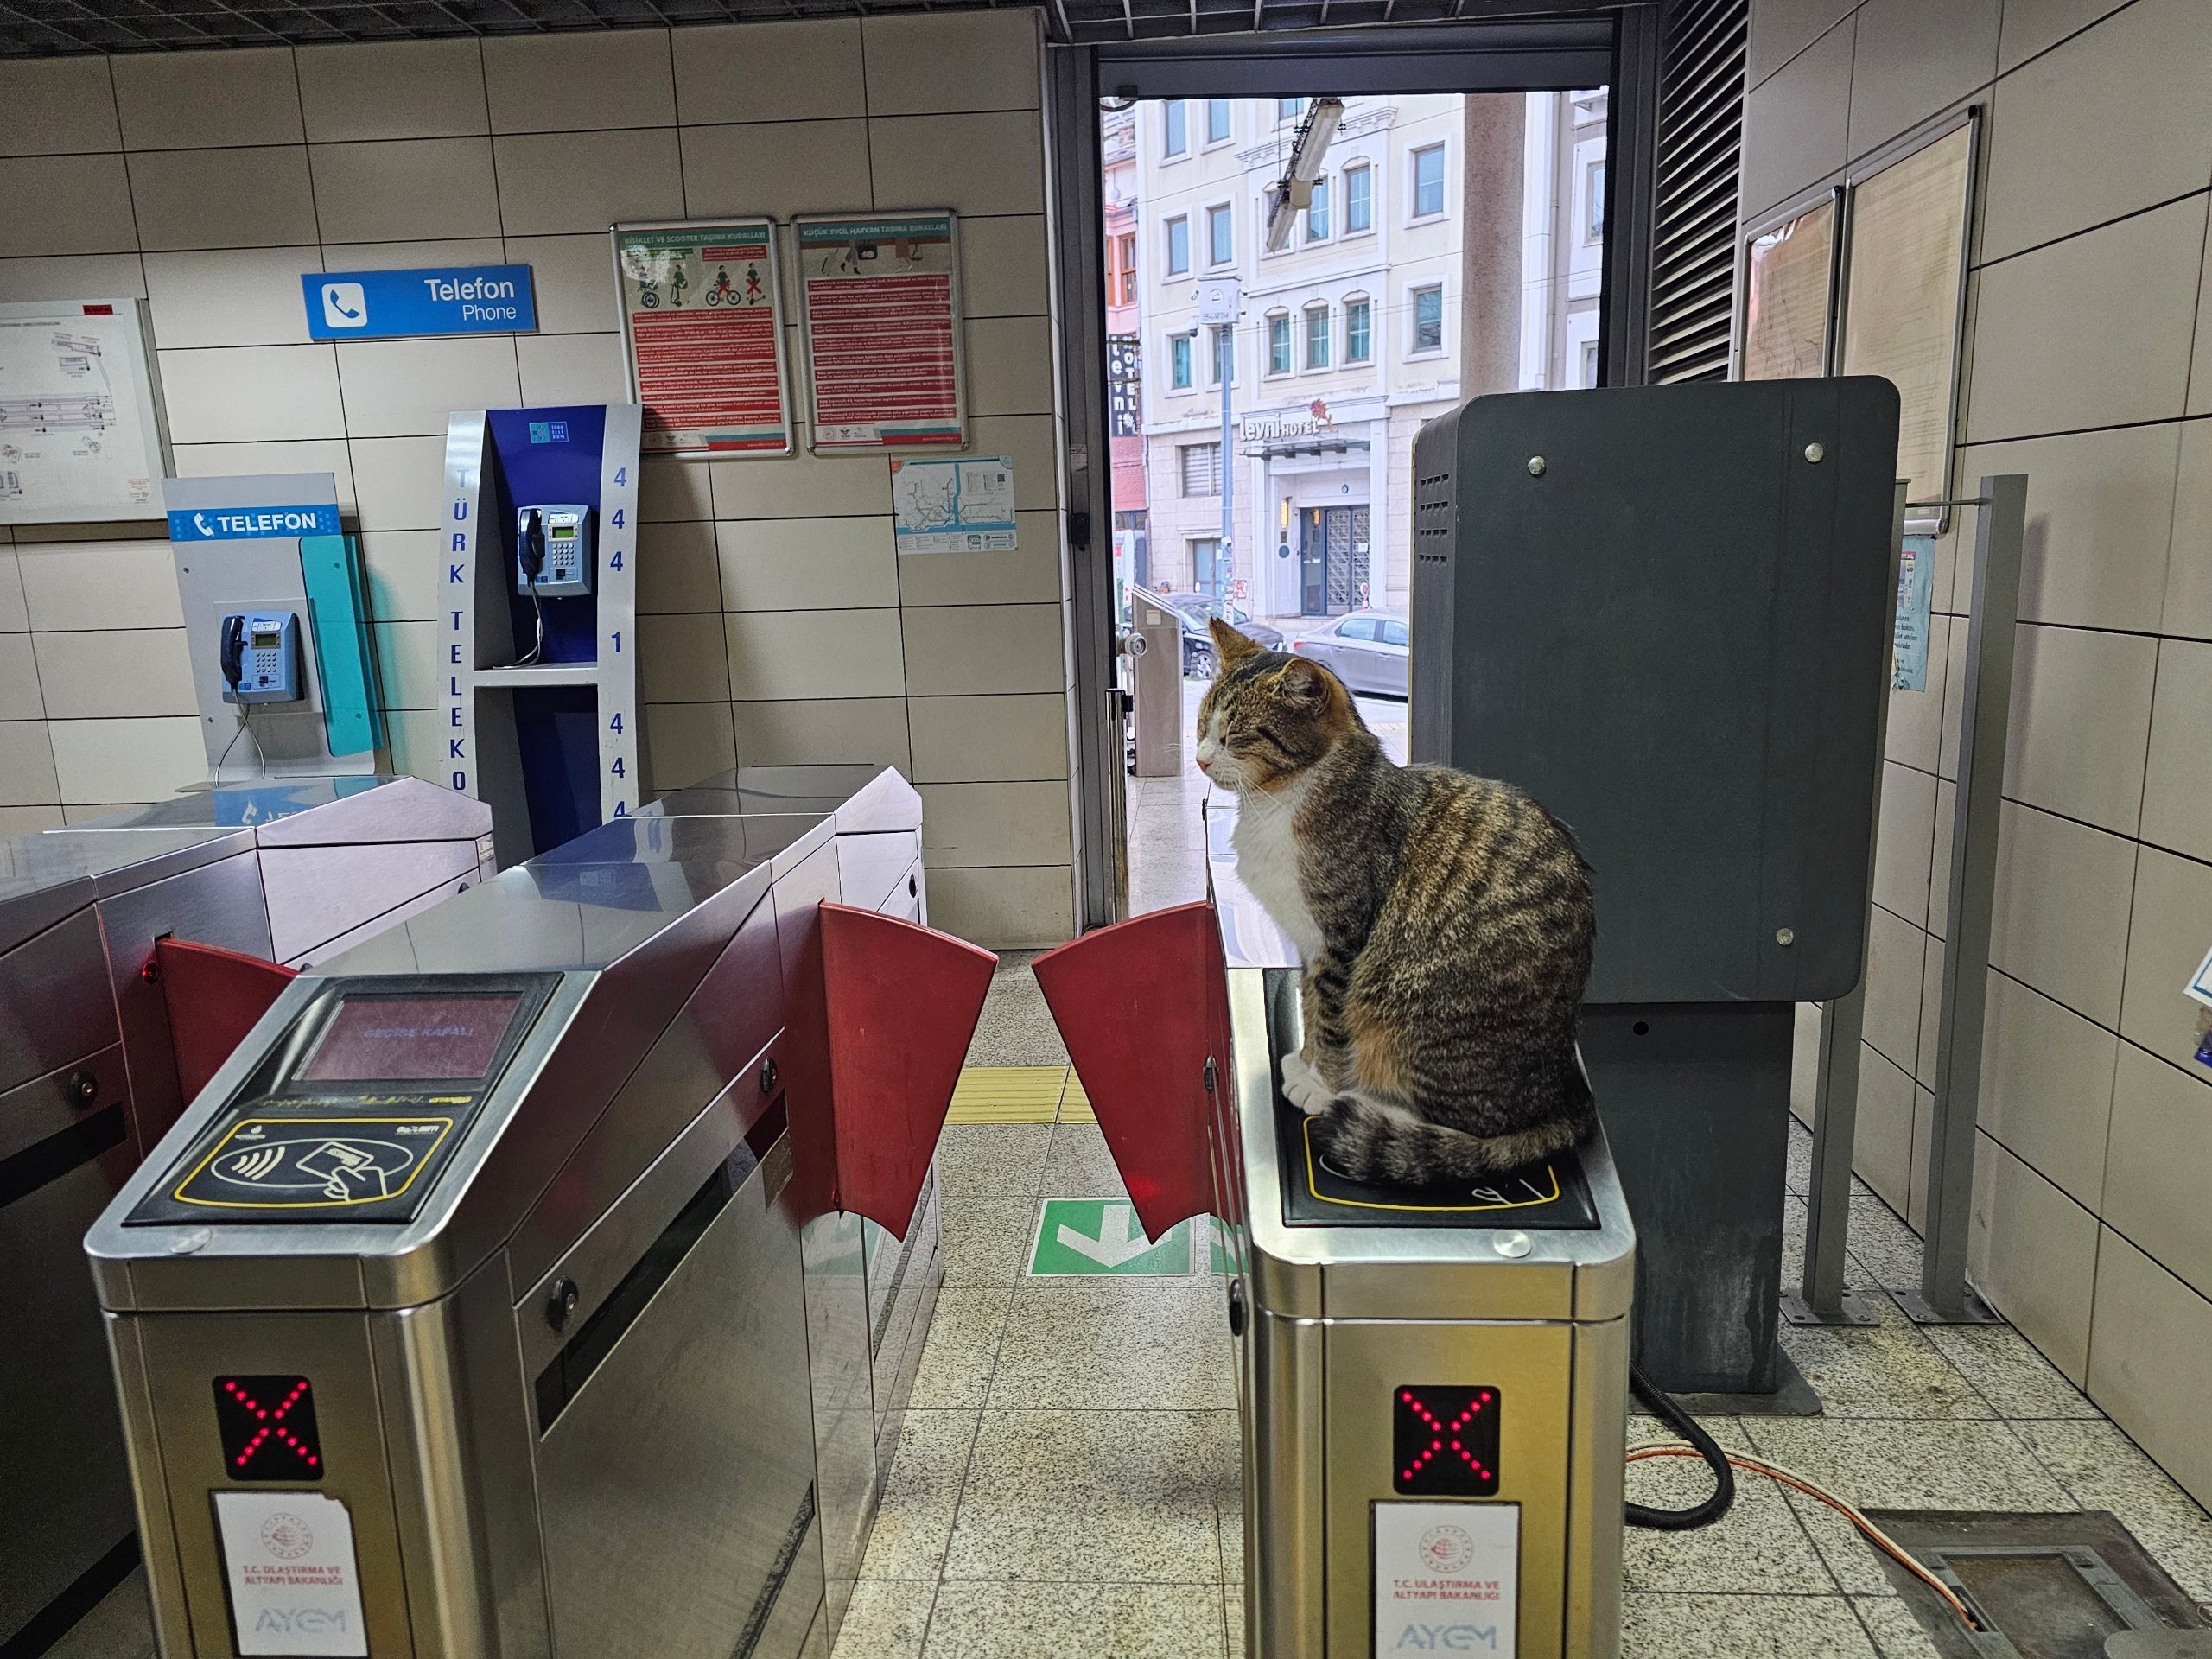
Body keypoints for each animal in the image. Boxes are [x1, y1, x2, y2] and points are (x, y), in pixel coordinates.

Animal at [1197, 616, 1597, 1184]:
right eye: (1202, 724)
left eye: (1235, 736)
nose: (1200, 758)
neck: (1285, 799)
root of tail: (1558, 1097)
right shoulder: (1307, 943)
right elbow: (1310, 1002)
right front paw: (1306, 1059)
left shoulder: (1342, 938)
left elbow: (1333, 1017)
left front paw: (1323, 1084)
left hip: (1410, 1007)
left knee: (1464, 1124)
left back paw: (1371, 1110)